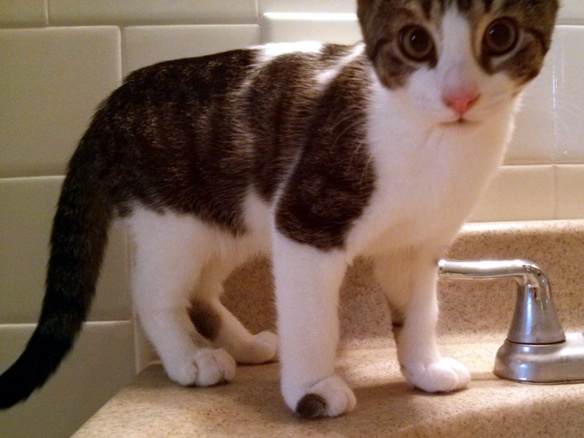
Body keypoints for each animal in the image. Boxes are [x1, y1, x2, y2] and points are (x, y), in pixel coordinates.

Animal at [0, 0, 556, 418]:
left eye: (501, 35)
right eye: (416, 42)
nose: (460, 95)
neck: (435, 145)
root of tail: (115, 99)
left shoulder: (415, 245)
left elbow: (419, 309)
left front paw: (423, 368)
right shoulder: (304, 221)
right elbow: (312, 319)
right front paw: (311, 388)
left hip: (229, 221)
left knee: (201, 289)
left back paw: (243, 345)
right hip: (174, 221)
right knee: (155, 292)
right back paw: (189, 359)